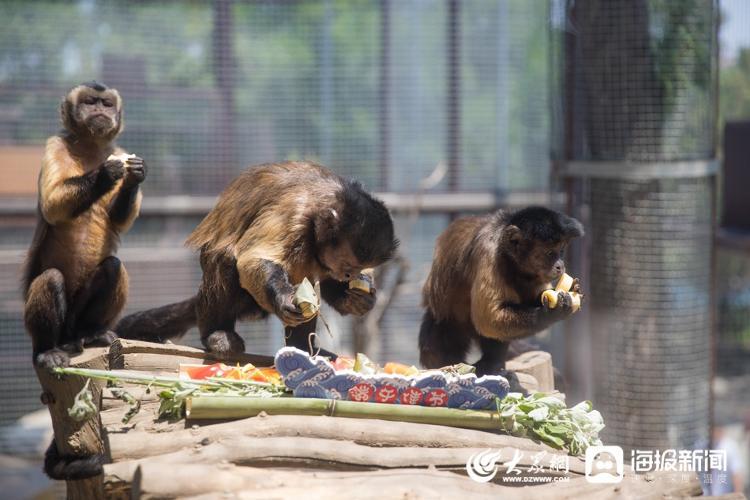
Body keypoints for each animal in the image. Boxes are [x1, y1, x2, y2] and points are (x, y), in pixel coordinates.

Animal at [23, 81, 146, 480]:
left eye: (106, 104)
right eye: (90, 102)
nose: (99, 112)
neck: (92, 148)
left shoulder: (118, 147)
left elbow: (121, 222)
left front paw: (134, 174)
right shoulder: (55, 143)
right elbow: (52, 205)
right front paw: (107, 174)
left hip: (79, 318)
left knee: (113, 267)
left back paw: (91, 334)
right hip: (51, 329)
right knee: (51, 279)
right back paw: (49, 349)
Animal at [116, 160, 400, 356]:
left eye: (355, 269)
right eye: (348, 265)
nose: (348, 275)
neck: (324, 198)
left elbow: (325, 283)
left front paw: (359, 299)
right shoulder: (294, 212)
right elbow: (252, 259)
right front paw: (285, 299)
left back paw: (302, 349)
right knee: (225, 257)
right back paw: (216, 334)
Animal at [420, 206, 584, 376]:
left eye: (561, 251)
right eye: (550, 253)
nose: (560, 265)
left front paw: (570, 290)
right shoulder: (488, 254)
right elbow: (489, 319)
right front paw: (551, 313)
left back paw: (493, 363)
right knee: (434, 344)